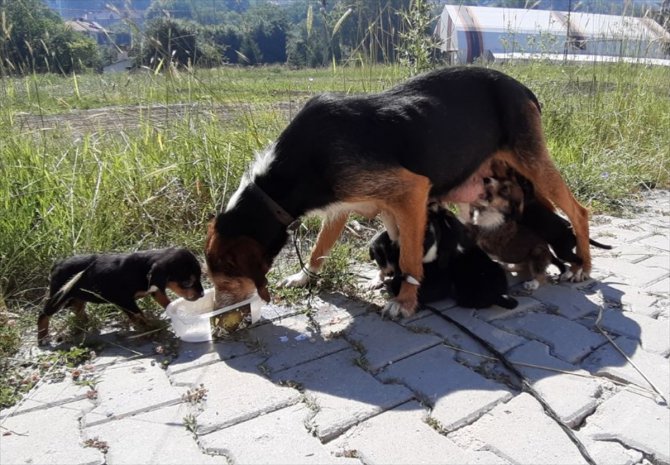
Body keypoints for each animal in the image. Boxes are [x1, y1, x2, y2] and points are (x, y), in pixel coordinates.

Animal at [36, 246, 203, 344]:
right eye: (187, 282)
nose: (201, 294)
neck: (143, 268)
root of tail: (56, 265)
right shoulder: (124, 300)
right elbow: (138, 315)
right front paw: (150, 328)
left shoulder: (155, 290)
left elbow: (166, 302)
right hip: (59, 297)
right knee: (43, 315)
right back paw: (42, 337)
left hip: (76, 297)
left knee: (78, 309)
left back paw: (84, 326)